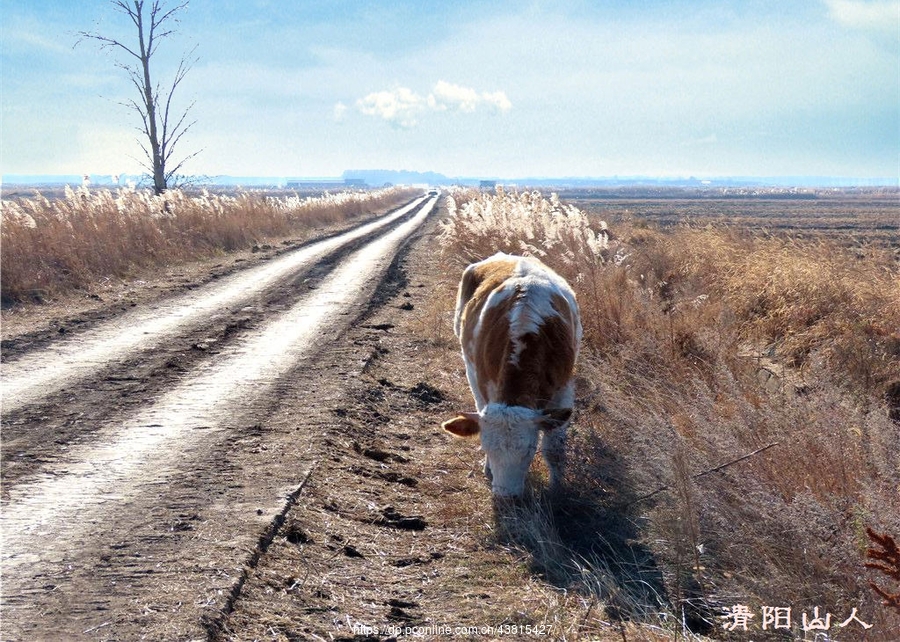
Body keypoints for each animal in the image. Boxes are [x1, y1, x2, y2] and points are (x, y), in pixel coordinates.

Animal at [442, 250, 584, 496]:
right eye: (486, 446)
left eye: (529, 450)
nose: (505, 496)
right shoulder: (484, 383)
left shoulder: (564, 390)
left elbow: (554, 450)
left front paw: (557, 488)